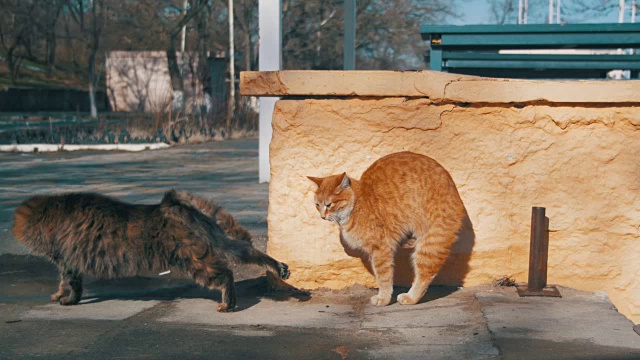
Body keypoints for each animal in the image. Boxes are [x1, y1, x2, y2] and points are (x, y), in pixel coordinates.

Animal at [308, 152, 462, 306]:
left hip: (431, 241)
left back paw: (411, 297)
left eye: (329, 205)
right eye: (317, 204)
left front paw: (383, 298)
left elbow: (383, 277)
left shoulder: (380, 249)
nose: (322, 216)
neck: (357, 204)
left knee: (425, 274)